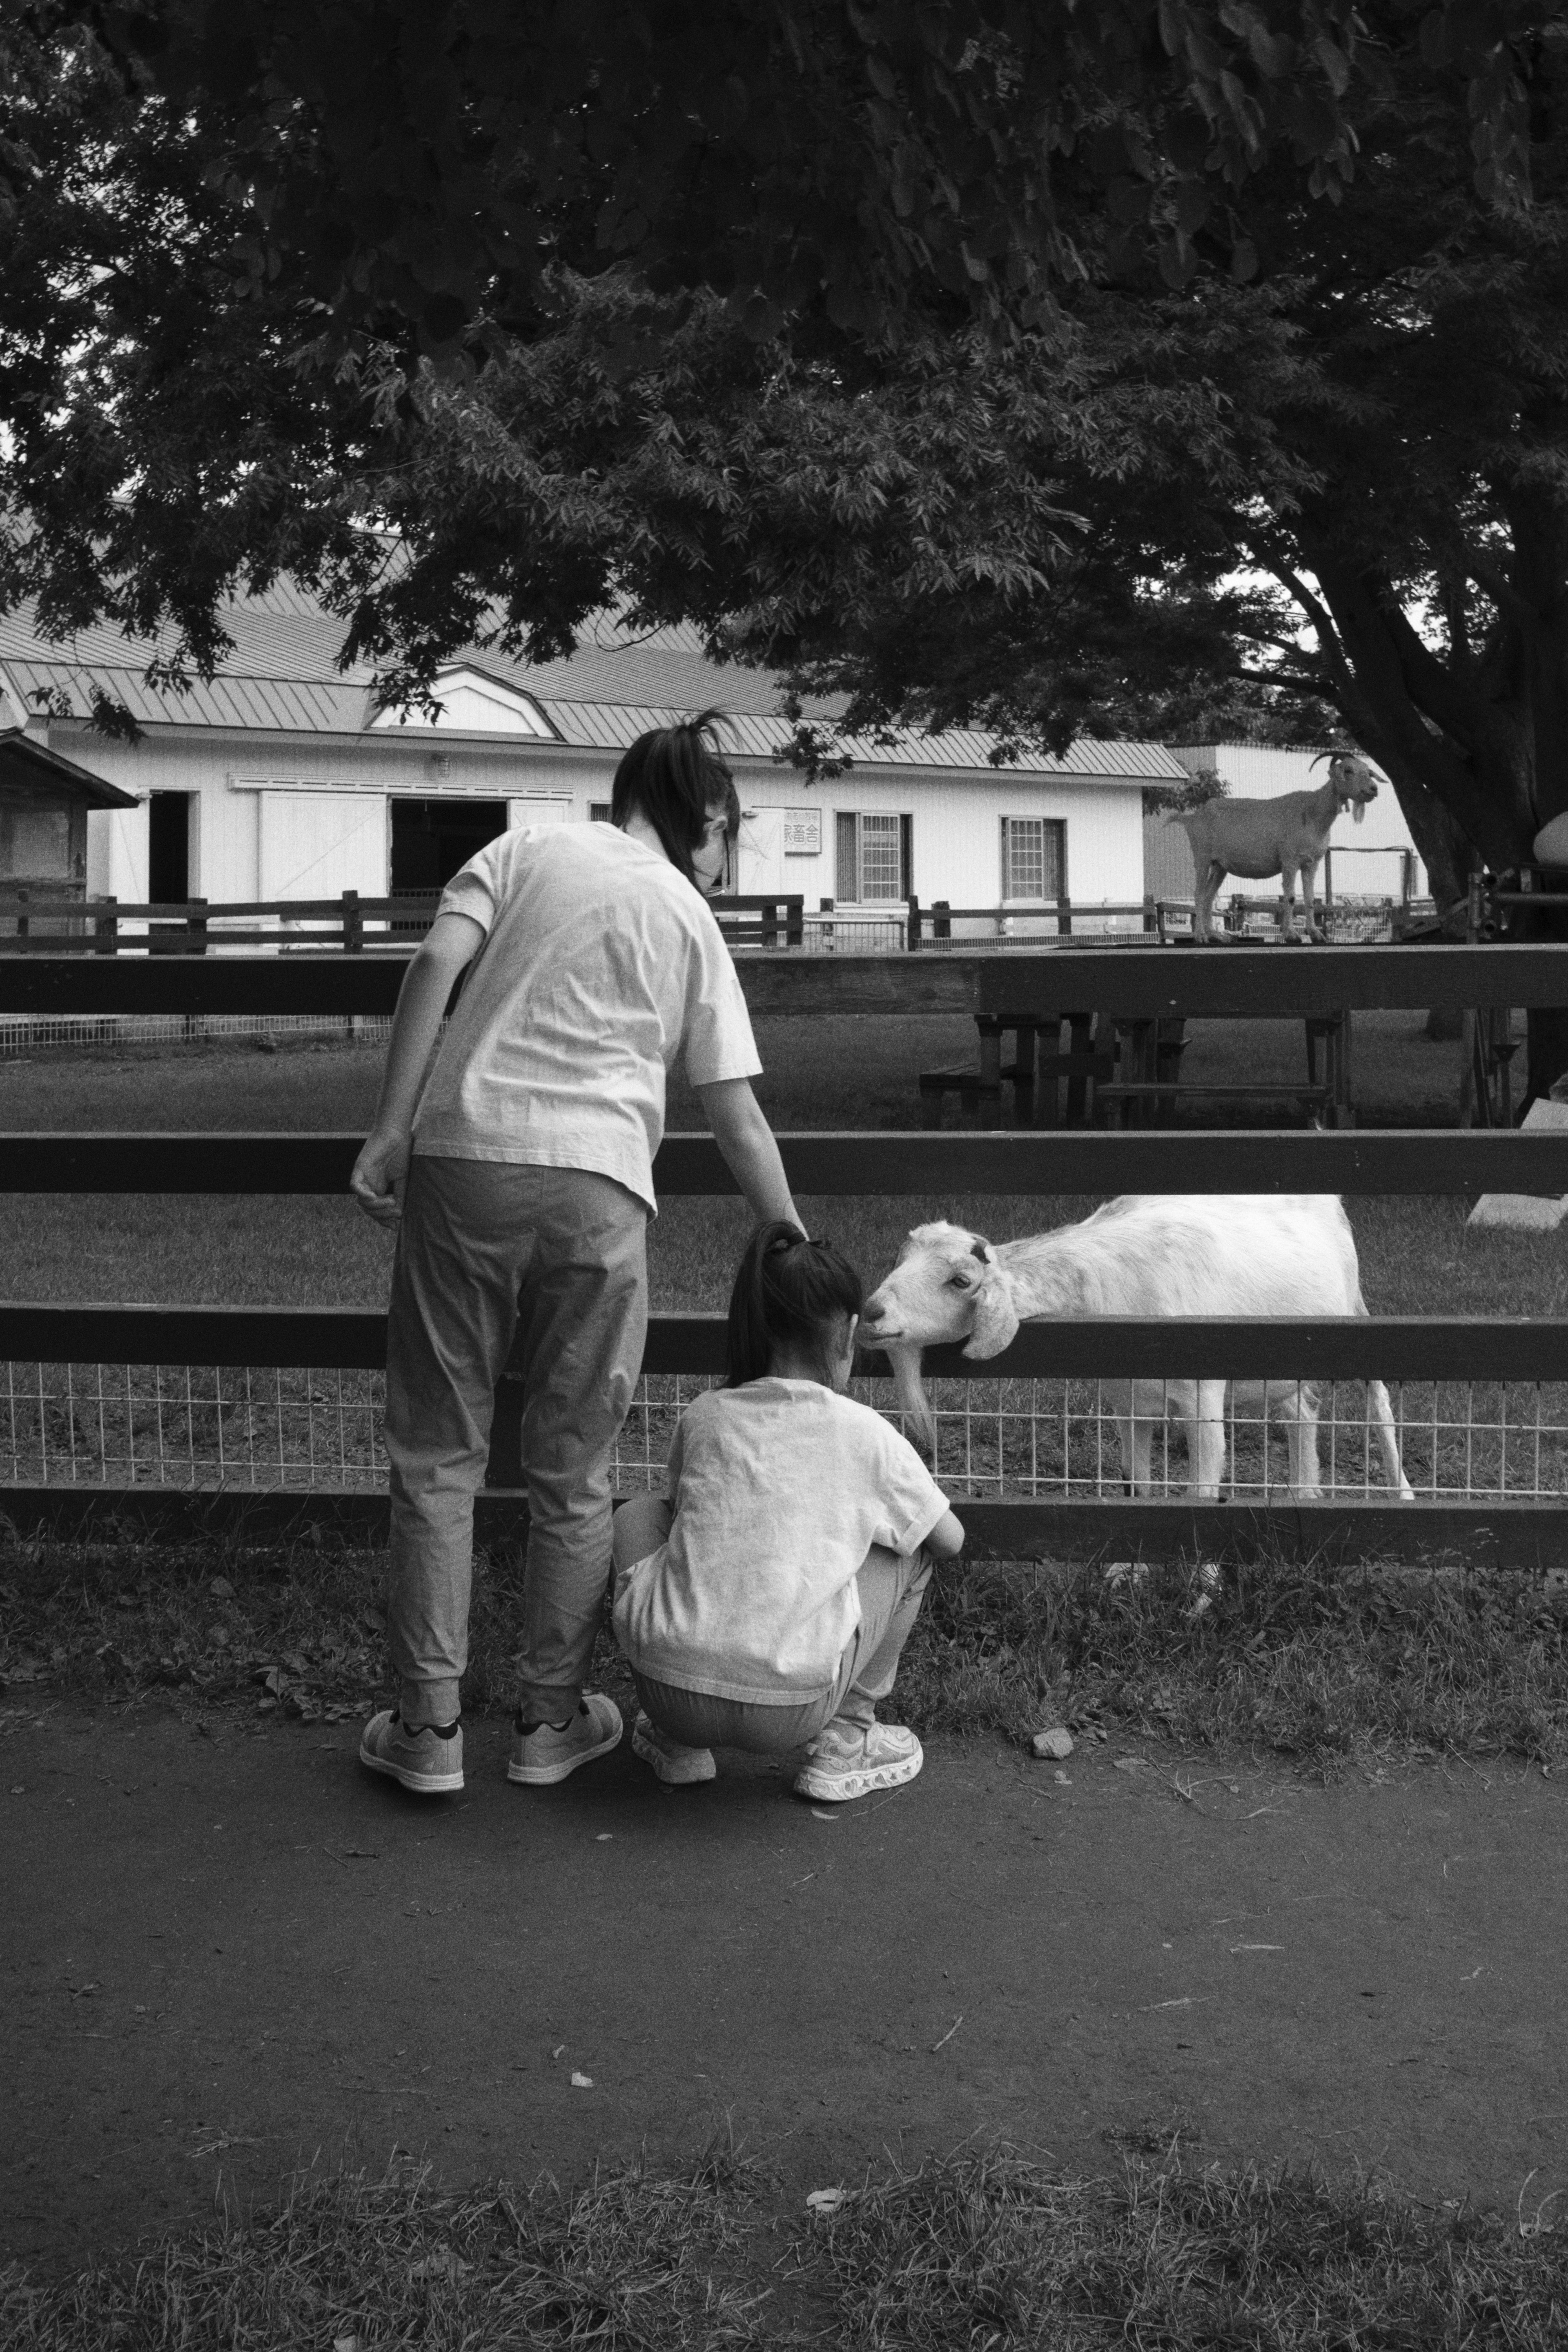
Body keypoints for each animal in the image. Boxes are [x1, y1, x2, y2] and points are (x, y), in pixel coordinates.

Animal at [865, 1195, 1420, 1505]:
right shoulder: (1128, 1403)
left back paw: (1404, 1491)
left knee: (1380, 1403)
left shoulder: (1202, 1403)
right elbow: (1139, 1487)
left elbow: (1201, 1494)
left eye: (960, 1281)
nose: (871, 1312)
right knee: (1302, 1411)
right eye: (899, 1258)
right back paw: (1306, 1491)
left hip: (1357, 1318)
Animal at [1171, 753, 1382, 936]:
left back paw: (1215, 936)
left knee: (1208, 896)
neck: (1312, 814)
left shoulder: (1312, 862)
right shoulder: (1290, 860)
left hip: (1220, 866)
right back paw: (1201, 936)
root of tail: (1192, 818)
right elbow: (1290, 897)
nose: (1374, 789)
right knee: (1198, 894)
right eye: (1348, 770)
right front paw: (1291, 935)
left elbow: (1310, 898)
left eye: (1368, 771)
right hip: (1202, 857)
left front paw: (1316, 934)